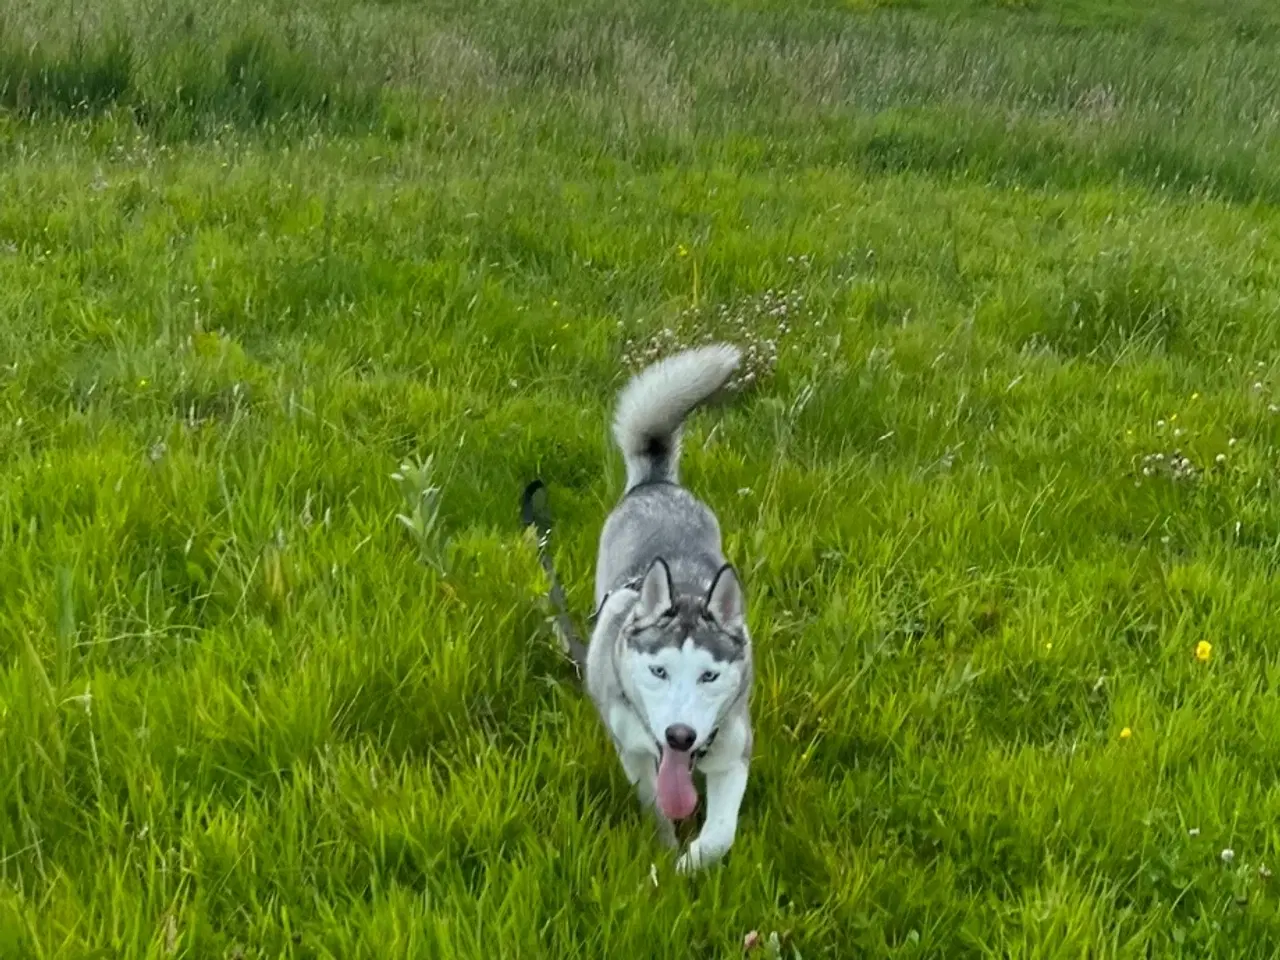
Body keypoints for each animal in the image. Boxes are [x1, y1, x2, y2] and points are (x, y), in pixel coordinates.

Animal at [586, 348, 752, 880]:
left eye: (709, 675)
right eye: (658, 671)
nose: (680, 736)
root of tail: (656, 483)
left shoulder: (734, 750)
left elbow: (720, 835)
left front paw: (689, 863)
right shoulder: (635, 754)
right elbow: (656, 807)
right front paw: (664, 854)